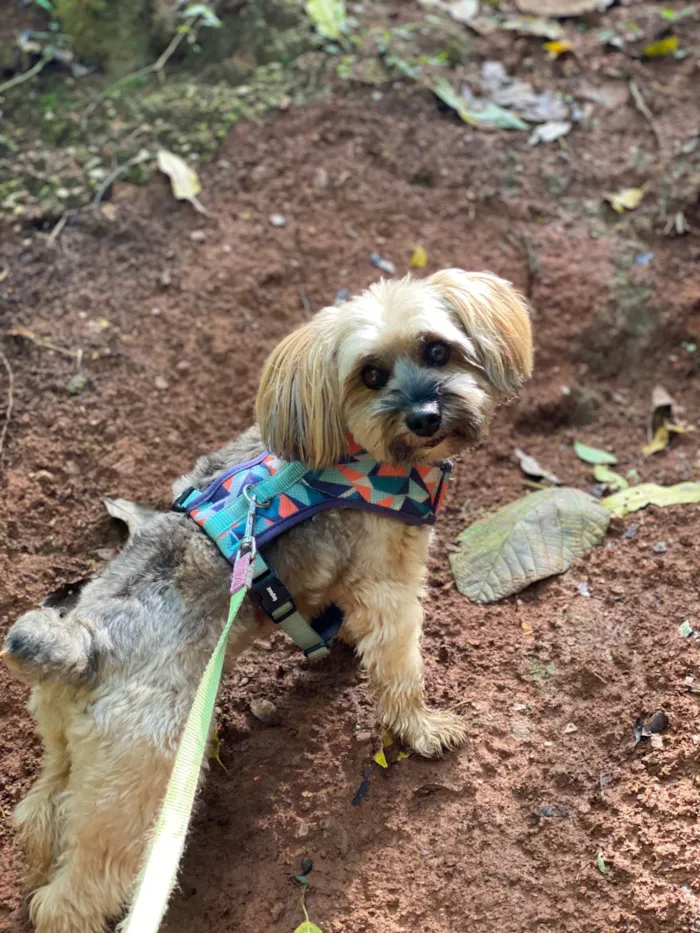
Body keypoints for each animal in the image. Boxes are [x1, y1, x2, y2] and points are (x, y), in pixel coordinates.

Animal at [2, 266, 532, 928]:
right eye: (370, 374)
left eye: (438, 350)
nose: (426, 415)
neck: (350, 450)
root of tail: (81, 643)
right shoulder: (390, 588)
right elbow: (399, 671)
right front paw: (422, 728)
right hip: (139, 785)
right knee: (72, 897)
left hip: (70, 757)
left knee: (38, 817)